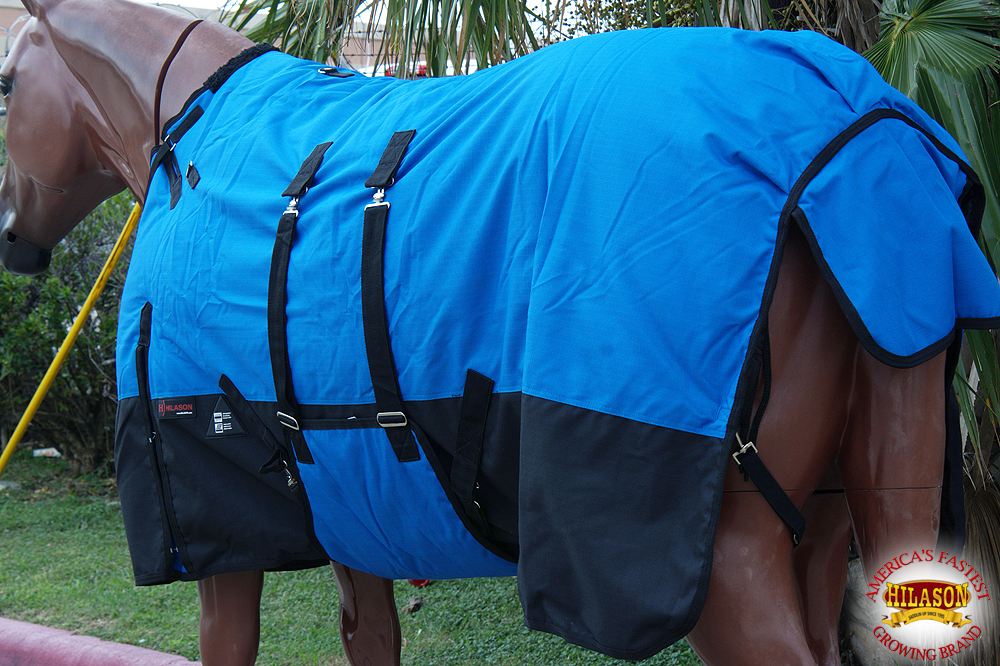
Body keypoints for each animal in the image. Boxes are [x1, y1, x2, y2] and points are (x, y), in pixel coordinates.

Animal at [2, 1, 998, 665]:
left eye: (8, 82)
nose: (12, 238)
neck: (191, 139)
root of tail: (863, 129)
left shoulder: (221, 536)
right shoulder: (359, 517)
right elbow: (372, 639)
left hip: (727, 558)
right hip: (847, 520)